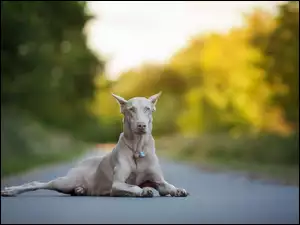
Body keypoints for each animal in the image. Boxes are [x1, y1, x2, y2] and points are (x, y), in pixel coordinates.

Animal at [1, 92, 189, 198]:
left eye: (147, 109)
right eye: (131, 109)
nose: (141, 126)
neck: (138, 148)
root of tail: (81, 162)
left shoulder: (158, 181)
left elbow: (166, 187)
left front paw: (178, 190)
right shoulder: (117, 184)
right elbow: (133, 186)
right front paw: (144, 191)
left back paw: (80, 191)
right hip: (66, 181)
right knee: (38, 184)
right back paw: (10, 191)